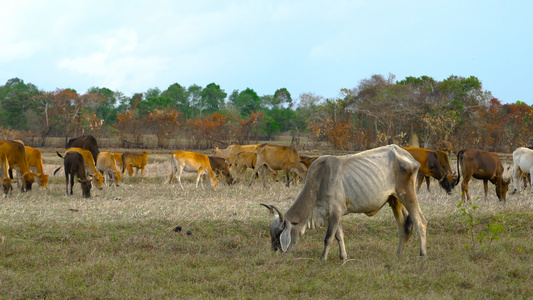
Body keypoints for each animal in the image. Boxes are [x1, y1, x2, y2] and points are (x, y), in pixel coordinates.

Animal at [260, 145, 426, 260]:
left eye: (278, 234)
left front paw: (323, 258)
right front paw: (343, 257)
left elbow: (328, 237)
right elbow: (339, 236)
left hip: (407, 195)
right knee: (403, 227)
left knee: (420, 221)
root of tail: (410, 157)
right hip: (394, 200)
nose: (275, 252)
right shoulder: (333, 214)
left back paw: (422, 254)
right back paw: (398, 254)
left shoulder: (335, 211)